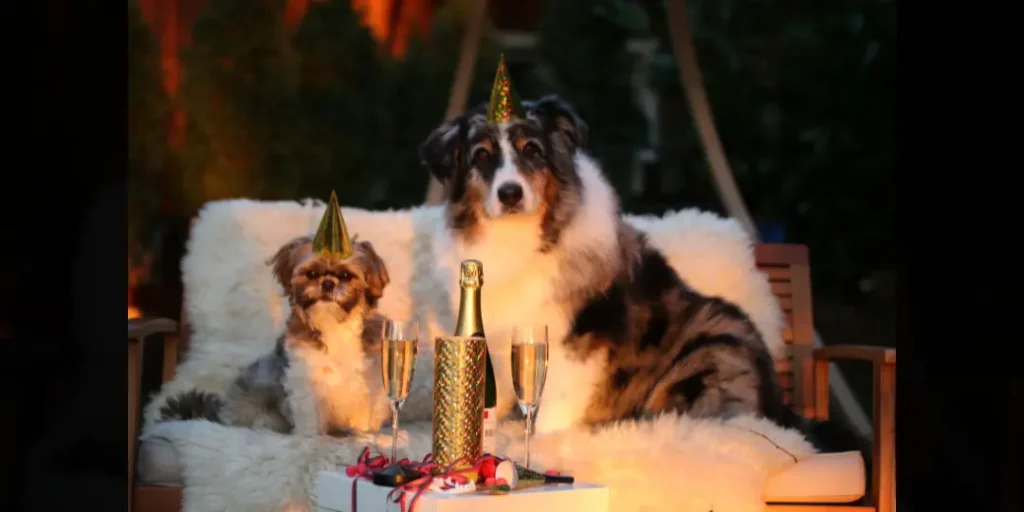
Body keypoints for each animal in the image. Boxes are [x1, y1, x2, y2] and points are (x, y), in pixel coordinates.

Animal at [158, 234, 391, 436]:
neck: (332, 324)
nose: (327, 283)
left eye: (345, 276)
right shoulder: (304, 383)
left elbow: (363, 417)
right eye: (311, 274)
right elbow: (310, 421)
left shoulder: (366, 387)